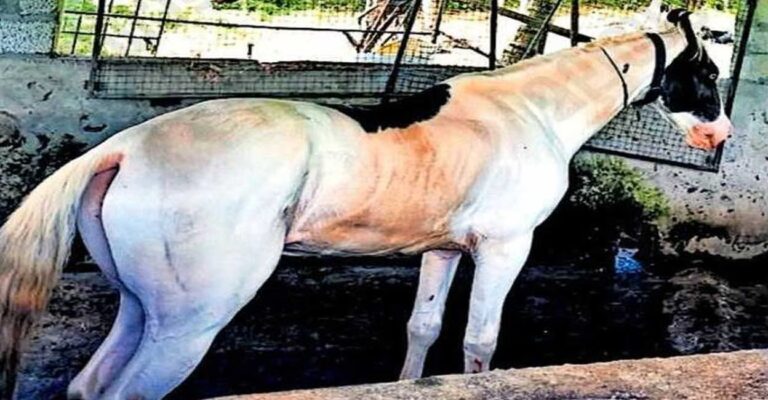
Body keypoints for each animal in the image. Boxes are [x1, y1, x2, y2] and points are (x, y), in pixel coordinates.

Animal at [0, 9, 731, 399]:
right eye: (706, 73)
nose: (720, 135)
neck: (531, 112)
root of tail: (125, 150)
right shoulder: (504, 248)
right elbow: (479, 341)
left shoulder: (444, 250)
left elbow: (424, 329)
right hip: (184, 327)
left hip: (140, 311)